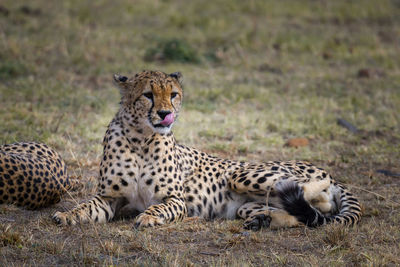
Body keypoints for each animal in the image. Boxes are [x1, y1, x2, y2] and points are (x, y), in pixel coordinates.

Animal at [51, 71, 360, 230]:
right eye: (148, 95)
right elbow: (86, 206)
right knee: (306, 214)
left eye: (173, 94)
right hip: (246, 205)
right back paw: (263, 220)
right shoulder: (109, 198)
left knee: (315, 196)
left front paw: (149, 216)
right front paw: (67, 215)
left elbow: (160, 206)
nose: (165, 114)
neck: (141, 138)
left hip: (242, 174)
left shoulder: (176, 199)